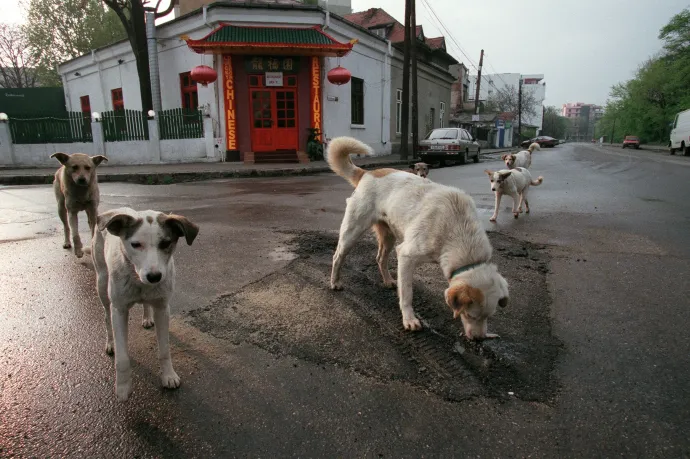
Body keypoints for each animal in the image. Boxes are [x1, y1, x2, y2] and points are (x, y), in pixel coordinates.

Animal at [326, 137, 508, 342]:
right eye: (470, 315)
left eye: (488, 316)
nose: (478, 339)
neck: (459, 230)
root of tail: (367, 173)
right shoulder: (406, 256)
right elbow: (407, 294)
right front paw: (409, 319)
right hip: (352, 232)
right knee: (337, 257)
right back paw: (335, 282)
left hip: (389, 236)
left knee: (380, 258)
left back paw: (387, 280)